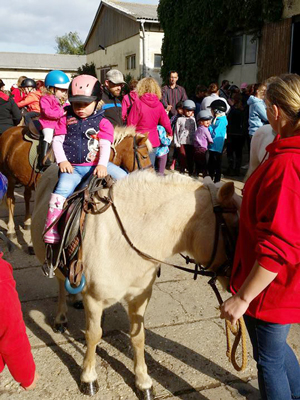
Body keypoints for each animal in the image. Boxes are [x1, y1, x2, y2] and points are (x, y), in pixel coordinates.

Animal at [0, 125, 152, 242]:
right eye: (144, 156)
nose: (151, 174)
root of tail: (8, 132)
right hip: (10, 178)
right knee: (11, 200)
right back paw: (11, 230)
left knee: (26, 196)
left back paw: (27, 222)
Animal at [31, 167, 241, 398]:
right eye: (236, 228)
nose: (238, 283)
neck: (126, 239)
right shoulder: (94, 300)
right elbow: (94, 335)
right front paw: (89, 377)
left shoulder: (140, 297)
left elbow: (138, 337)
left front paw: (143, 381)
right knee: (61, 285)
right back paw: (61, 317)